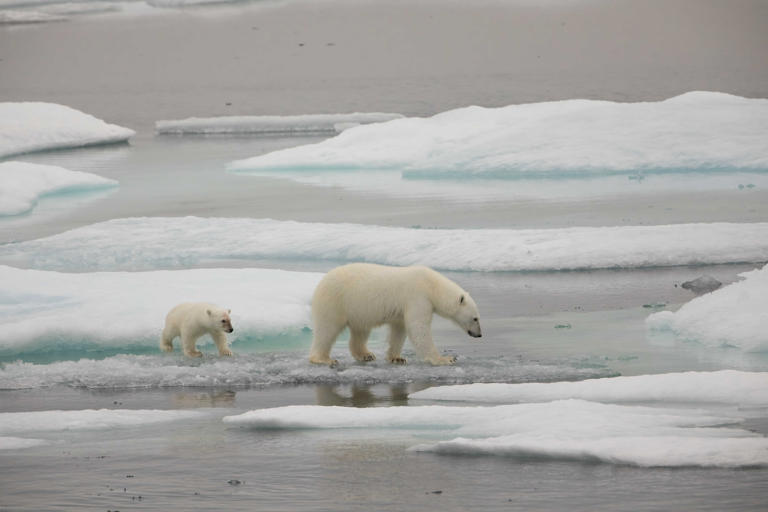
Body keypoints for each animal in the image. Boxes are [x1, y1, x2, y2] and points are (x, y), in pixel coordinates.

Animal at [308, 262, 484, 366]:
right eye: (475, 318)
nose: (479, 335)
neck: (431, 286)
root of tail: (321, 282)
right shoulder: (418, 297)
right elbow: (419, 328)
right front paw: (445, 359)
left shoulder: (403, 309)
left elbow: (399, 330)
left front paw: (397, 357)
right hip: (335, 302)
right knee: (327, 330)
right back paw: (323, 359)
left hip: (358, 310)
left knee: (360, 331)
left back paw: (366, 355)